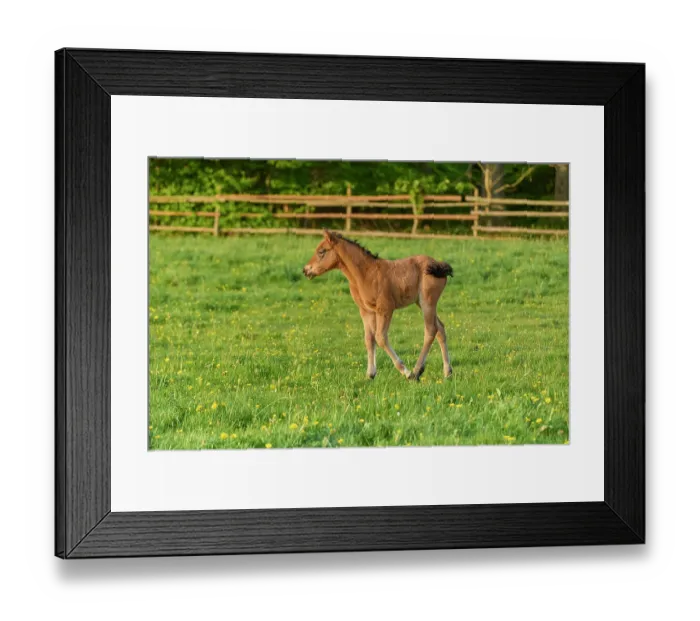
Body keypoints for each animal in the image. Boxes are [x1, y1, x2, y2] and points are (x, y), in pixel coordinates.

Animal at [303, 229, 453, 381]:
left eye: (321, 251)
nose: (306, 270)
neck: (366, 274)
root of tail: (438, 264)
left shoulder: (385, 308)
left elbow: (380, 338)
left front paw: (405, 371)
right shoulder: (366, 311)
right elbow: (369, 339)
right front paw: (370, 374)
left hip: (427, 301)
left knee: (430, 330)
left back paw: (416, 371)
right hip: (421, 303)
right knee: (440, 328)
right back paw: (447, 372)